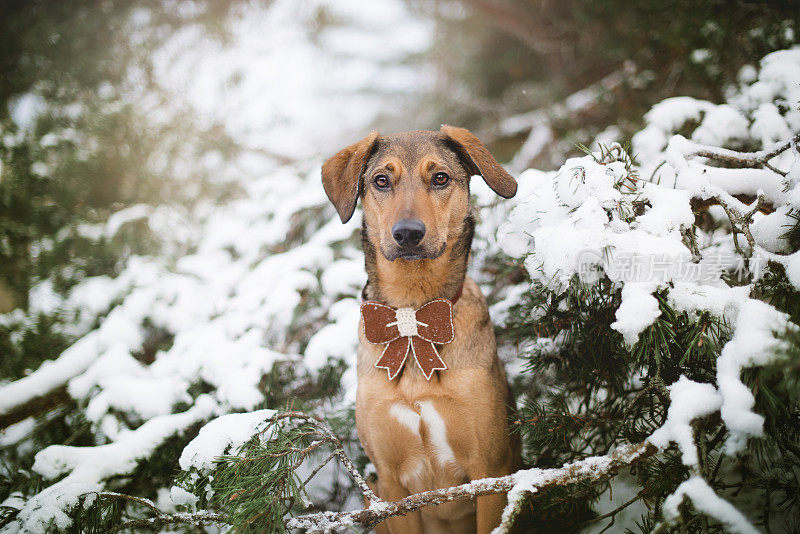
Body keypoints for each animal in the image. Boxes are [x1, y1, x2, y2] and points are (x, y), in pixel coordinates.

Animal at [322, 126, 520, 534]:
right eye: (381, 181)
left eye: (440, 178)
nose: (408, 234)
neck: (413, 313)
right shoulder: (391, 486)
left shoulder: (491, 471)